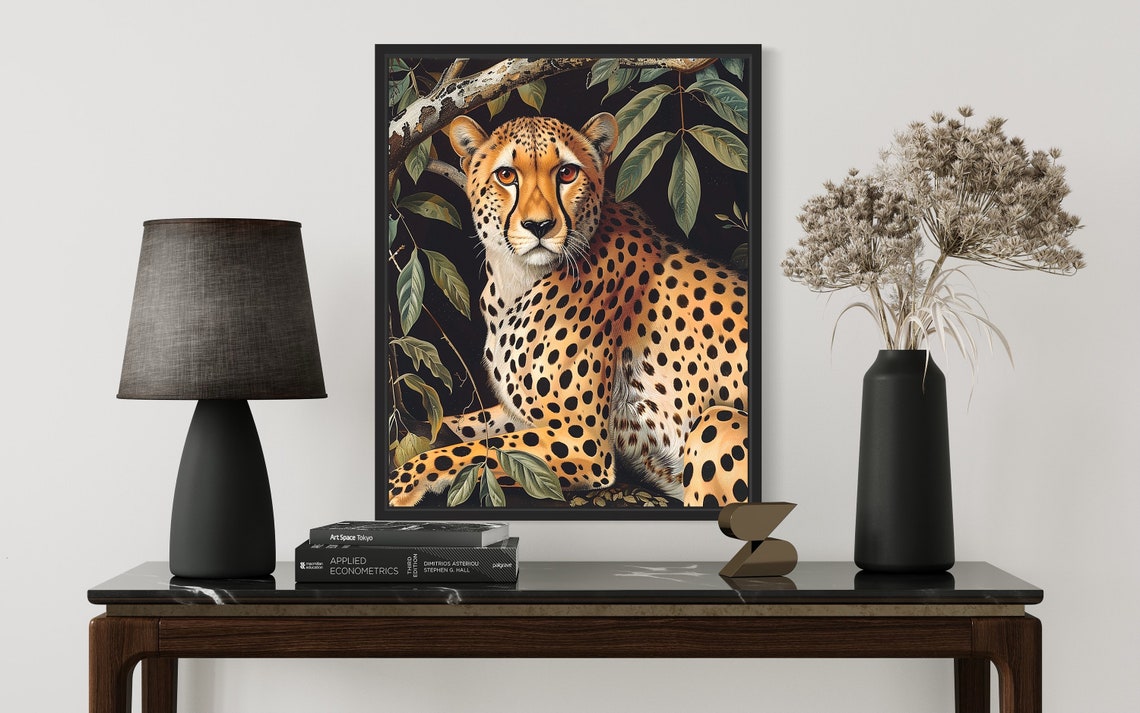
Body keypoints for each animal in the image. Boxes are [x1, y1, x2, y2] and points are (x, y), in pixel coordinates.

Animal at [389, 111, 749, 509]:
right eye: (506, 175)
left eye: (566, 172)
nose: (539, 225)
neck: (514, 279)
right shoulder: (525, 415)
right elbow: (459, 427)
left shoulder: (582, 440)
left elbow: (471, 450)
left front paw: (401, 483)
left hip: (717, 421)